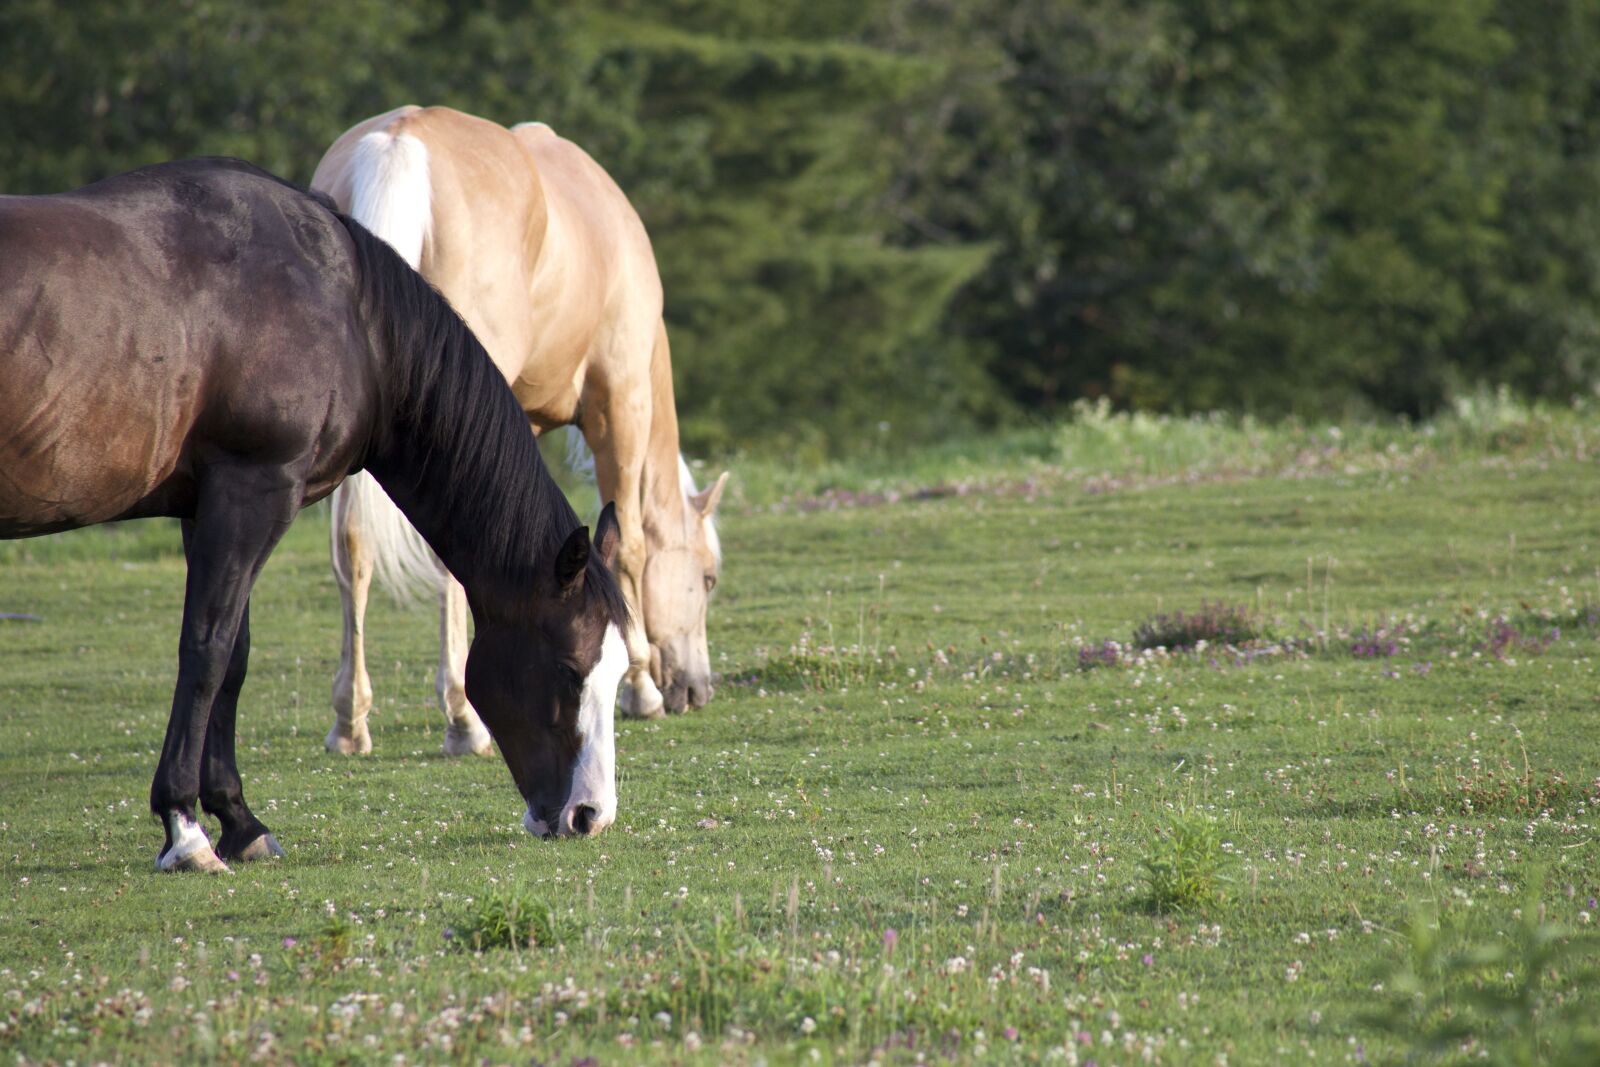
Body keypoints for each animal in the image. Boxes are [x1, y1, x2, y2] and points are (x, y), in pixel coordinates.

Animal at [0, 157, 631, 872]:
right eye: (570, 670)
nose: (590, 816)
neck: (347, 312)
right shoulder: (254, 490)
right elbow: (206, 650)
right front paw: (185, 828)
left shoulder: (210, 503)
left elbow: (234, 657)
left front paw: (239, 820)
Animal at [311, 105, 727, 759]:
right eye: (707, 579)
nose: (697, 688)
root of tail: (398, 142)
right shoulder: (621, 403)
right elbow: (632, 542)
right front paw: (640, 689)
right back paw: (463, 720)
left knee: (353, 544)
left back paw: (351, 722)